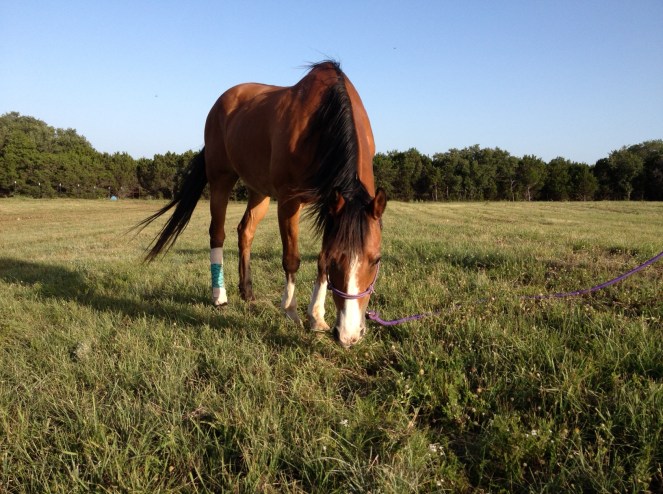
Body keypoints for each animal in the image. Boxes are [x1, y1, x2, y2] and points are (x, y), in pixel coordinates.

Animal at [137, 61, 386, 348]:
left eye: (376, 259)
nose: (348, 335)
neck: (321, 120)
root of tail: (222, 101)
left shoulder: (331, 207)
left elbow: (320, 259)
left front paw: (316, 317)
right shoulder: (289, 201)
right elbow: (292, 259)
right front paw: (291, 311)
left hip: (259, 191)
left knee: (245, 231)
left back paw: (247, 291)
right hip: (221, 179)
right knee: (217, 233)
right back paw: (219, 296)